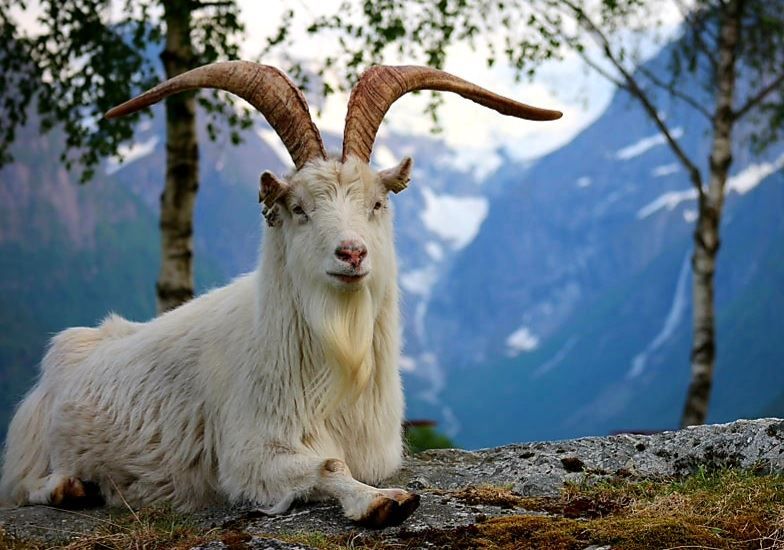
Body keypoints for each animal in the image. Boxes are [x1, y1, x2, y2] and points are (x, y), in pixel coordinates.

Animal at [0, 62, 560, 526]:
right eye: (299, 209)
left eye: (377, 203)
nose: (352, 253)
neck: (337, 360)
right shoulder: (248, 457)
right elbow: (328, 464)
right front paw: (379, 502)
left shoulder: (378, 452)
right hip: (32, 449)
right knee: (23, 485)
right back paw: (72, 488)